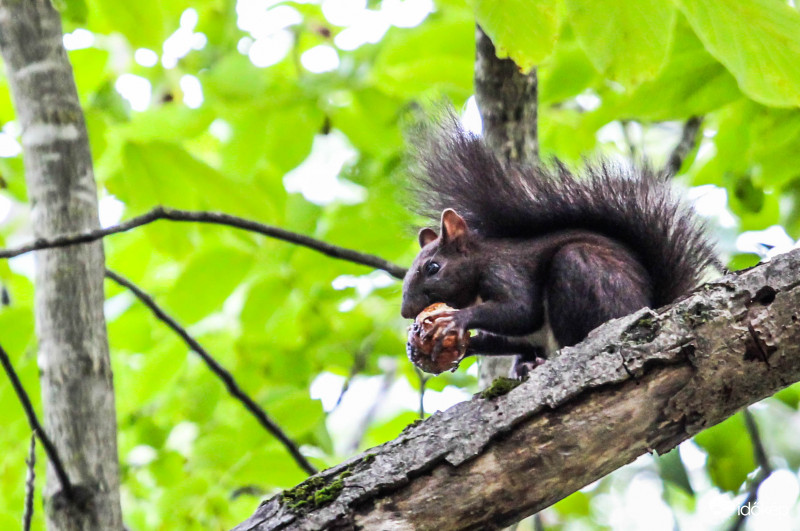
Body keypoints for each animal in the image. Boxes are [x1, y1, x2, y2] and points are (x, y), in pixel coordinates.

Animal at [400, 118, 720, 370]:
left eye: (433, 268)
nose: (406, 312)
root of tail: (650, 304)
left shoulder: (504, 271)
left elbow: (522, 310)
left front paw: (456, 319)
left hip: (581, 270)